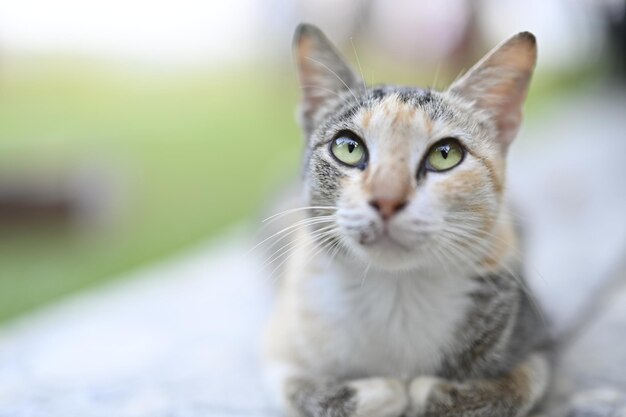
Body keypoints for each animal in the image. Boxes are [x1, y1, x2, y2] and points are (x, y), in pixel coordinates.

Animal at [260, 24, 552, 416]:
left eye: (446, 154)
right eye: (347, 147)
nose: (387, 199)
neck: (397, 292)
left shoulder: (537, 333)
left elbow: (521, 385)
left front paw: (428, 391)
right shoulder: (280, 340)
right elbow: (299, 388)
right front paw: (385, 392)